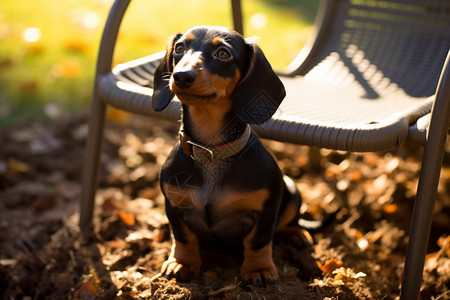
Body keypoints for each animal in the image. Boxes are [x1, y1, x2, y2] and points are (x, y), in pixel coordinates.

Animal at [151, 25, 310, 286]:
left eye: (223, 54)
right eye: (180, 48)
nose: (181, 76)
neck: (211, 152)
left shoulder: (266, 209)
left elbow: (258, 241)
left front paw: (258, 270)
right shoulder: (173, 205)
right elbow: (183, 236)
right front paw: (182, 262)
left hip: (292, 190)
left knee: (290, 221)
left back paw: (297, 234)